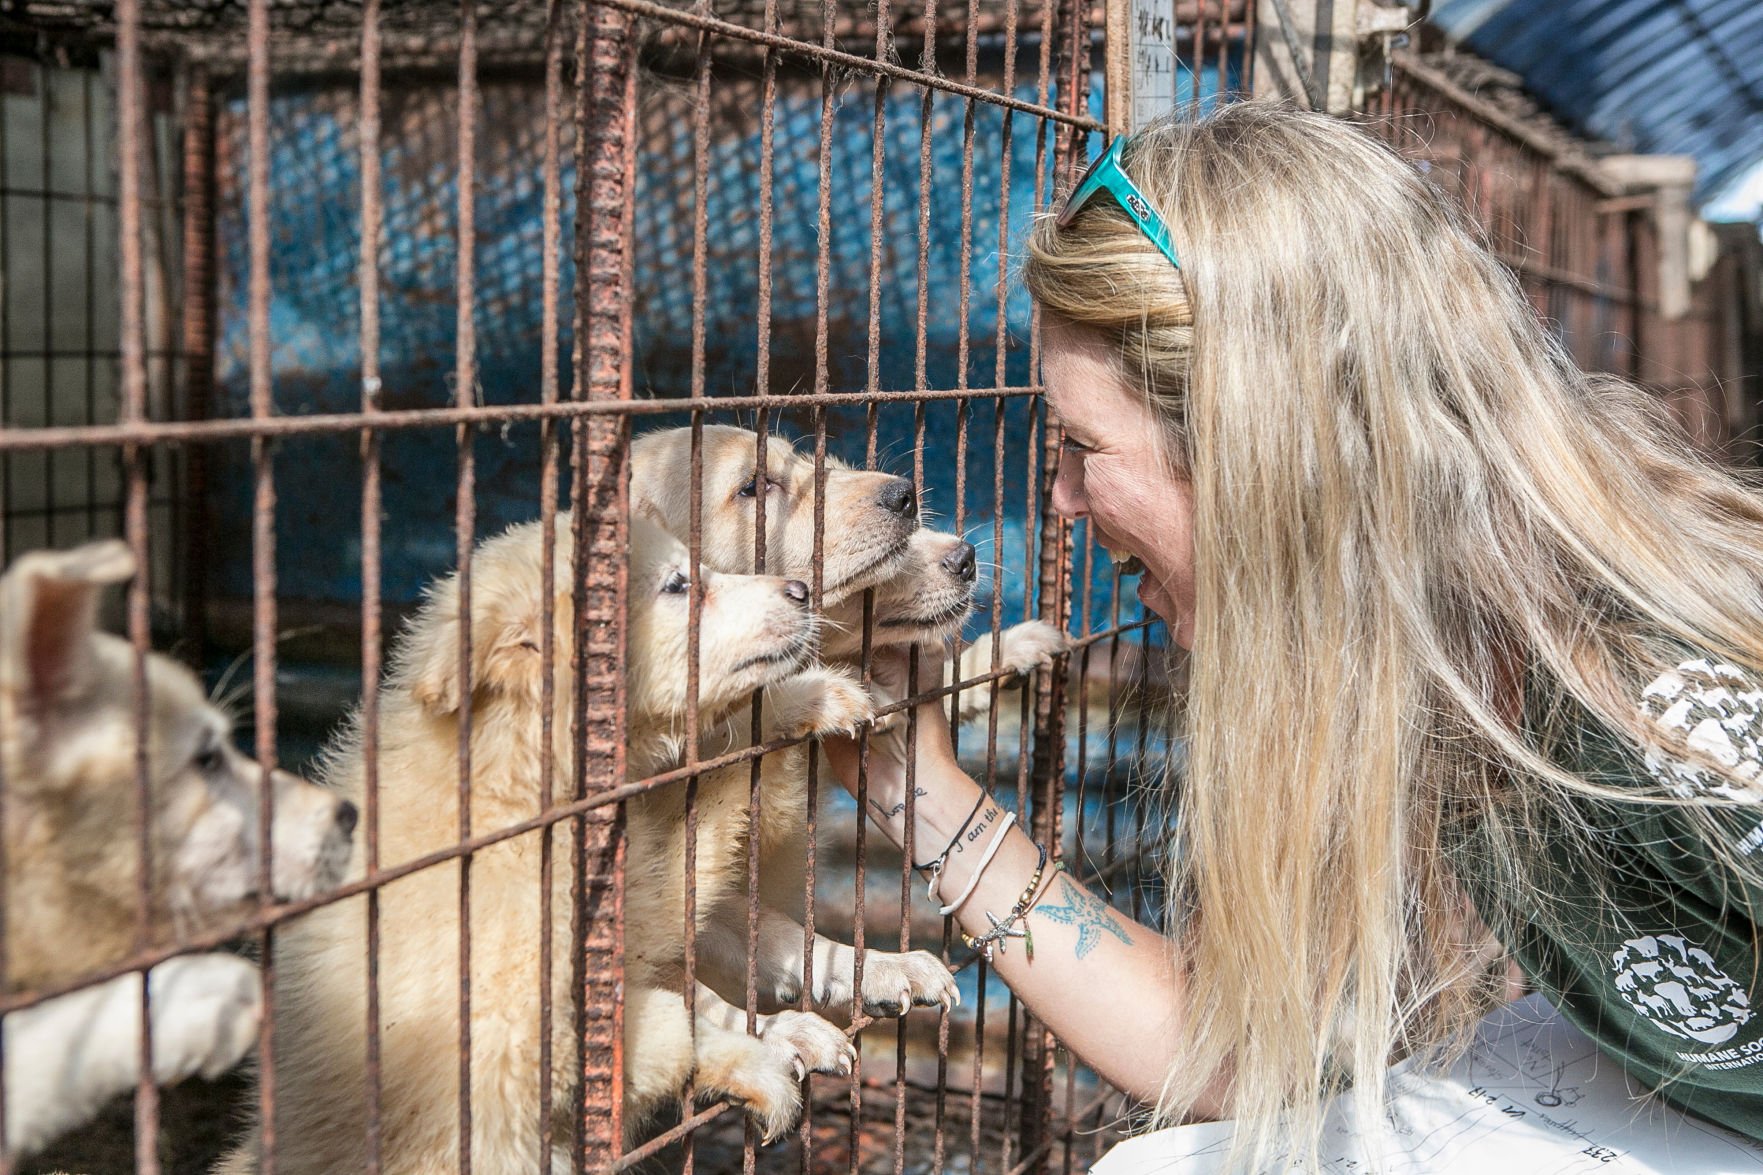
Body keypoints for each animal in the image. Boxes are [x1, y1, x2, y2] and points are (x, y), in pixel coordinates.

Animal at [220, 515, 881, 1171]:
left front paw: (808, 701)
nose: (801, 589)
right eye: (677, 585)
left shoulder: (634, 892)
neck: (516, 795)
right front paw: (750, 1059)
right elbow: (663, 1024)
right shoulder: (499, 1035)